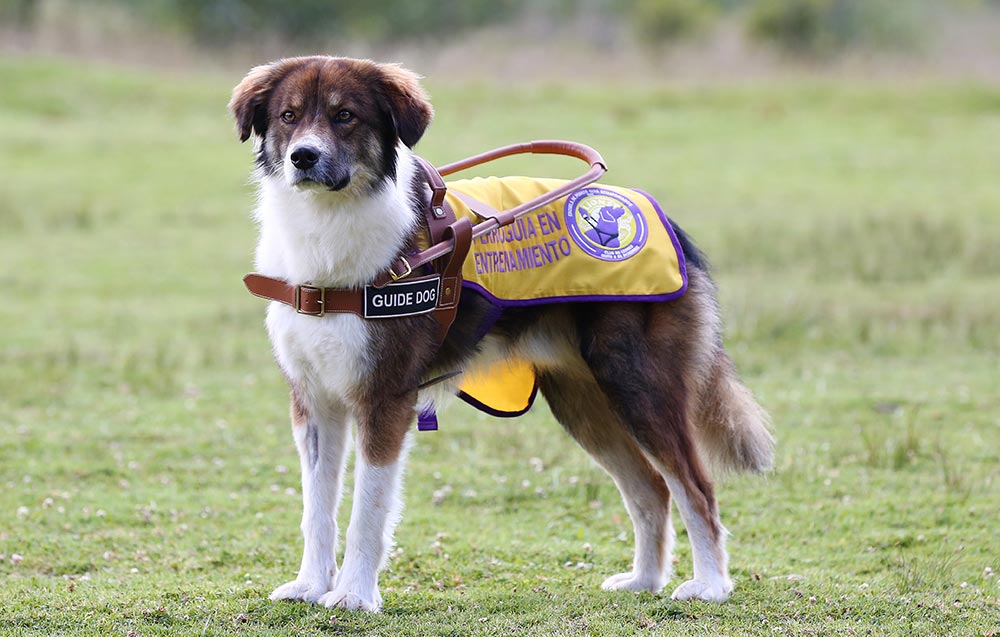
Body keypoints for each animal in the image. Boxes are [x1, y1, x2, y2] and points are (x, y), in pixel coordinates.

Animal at [230, 56, 776, 612]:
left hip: (640, 388)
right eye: (289, 116)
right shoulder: (315, 403)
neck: (326, 229)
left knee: (694, 487)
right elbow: (316, 509)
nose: (303, 157)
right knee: (650, 489)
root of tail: (665, 221)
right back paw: (643, 581)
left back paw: (710, 585)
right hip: (584, 403)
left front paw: (354, 595)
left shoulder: (384, 398)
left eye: (345, 116)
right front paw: (310, 585)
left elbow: (368, 511)